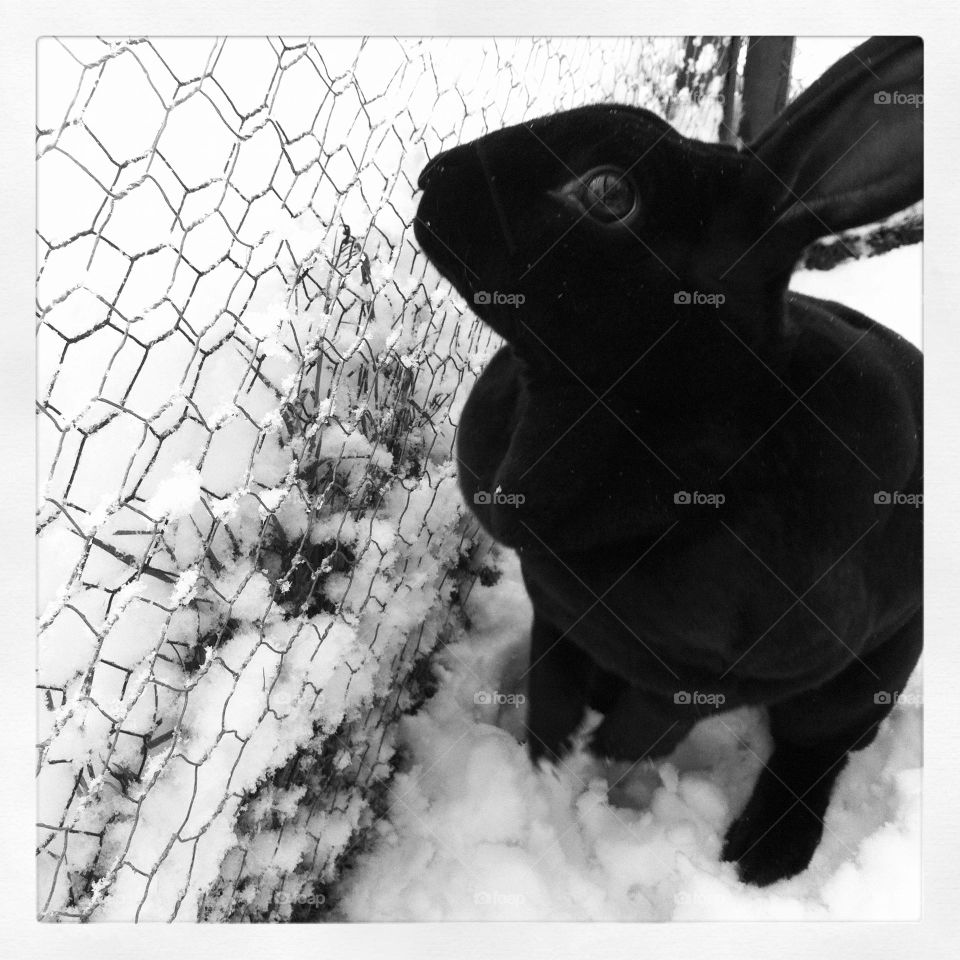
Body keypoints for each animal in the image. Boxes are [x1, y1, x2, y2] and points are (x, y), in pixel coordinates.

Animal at [412, 37, 924, 884]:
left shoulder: (737, 671)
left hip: (866, 676)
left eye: (609, 194)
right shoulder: (558, 606)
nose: (431, 178)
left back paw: (764, 855)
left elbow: (652, 724)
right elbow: (553, 681)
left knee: (817, 748)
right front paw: (545, 758)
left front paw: (605, 767)